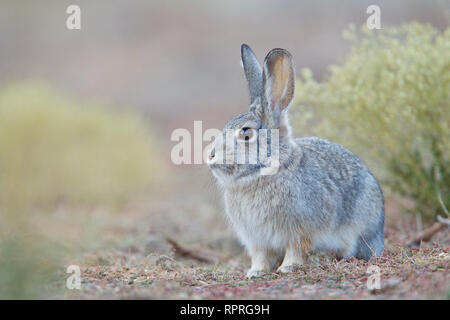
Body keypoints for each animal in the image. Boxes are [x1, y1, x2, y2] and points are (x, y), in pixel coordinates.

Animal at [207, 44, 384, 278]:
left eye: (246, 133)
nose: (210, 155)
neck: (264, 172)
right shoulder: (256, 238)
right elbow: (260, 255)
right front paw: (255, 272)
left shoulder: (300, 230)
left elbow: (296, 249)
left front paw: (288, 268)